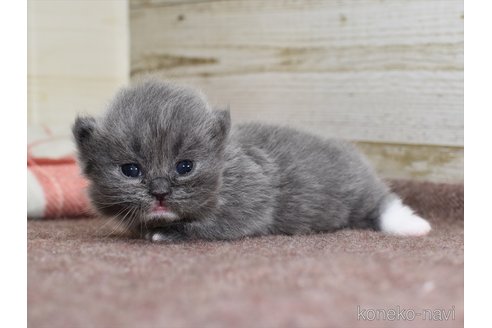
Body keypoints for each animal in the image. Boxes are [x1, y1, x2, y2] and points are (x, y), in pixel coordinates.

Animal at [73, 80, 430, 241]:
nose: (160, 192)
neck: (224, 170)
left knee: (382, 203)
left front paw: (169, 233)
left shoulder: (253, 202)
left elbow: (209, 226)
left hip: (358, 192)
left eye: (184, 166)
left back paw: (413, 225)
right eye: (131, 170)